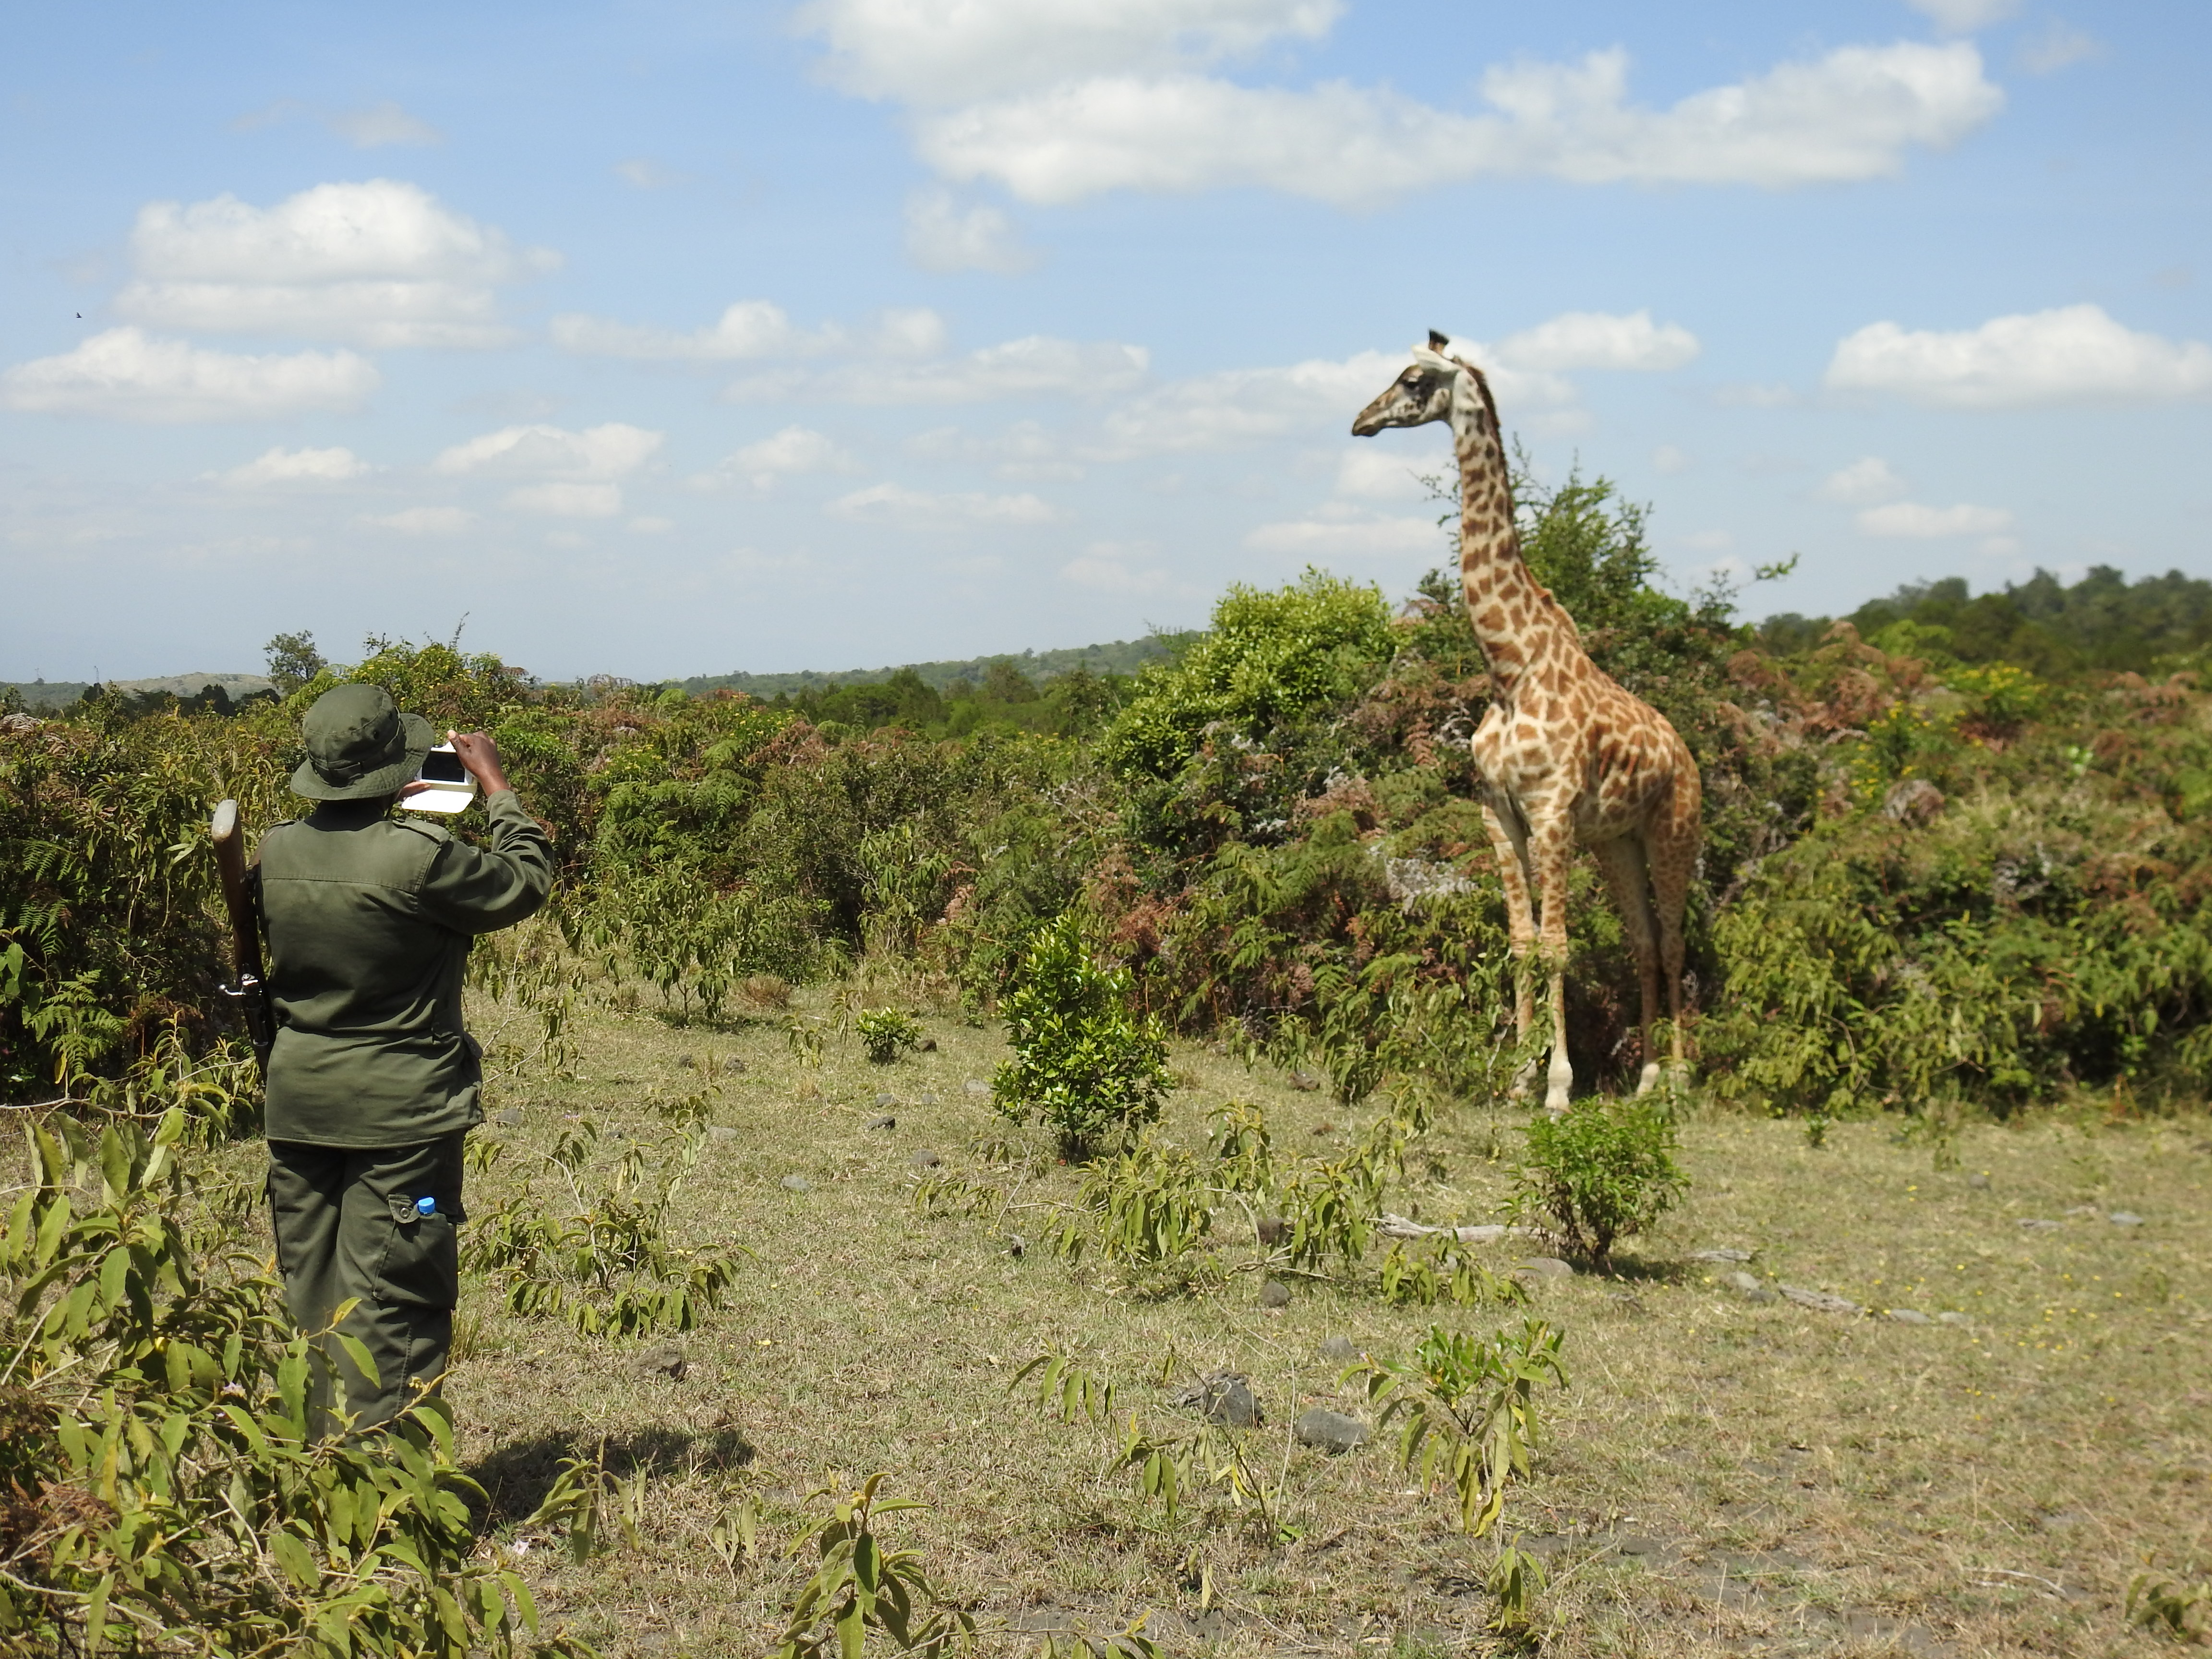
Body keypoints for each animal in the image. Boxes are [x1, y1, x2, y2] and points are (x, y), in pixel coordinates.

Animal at [1345, 334, 1690, 1119]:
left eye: (1414, 380)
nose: (1361, 420)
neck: (1510, 666)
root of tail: (1688, 756)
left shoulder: (1553, 810)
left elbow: (1557, 946)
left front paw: (1559, 1087)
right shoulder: (1498, 812)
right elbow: (1523, 942)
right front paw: (1518, 1076)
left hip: (1674, 830)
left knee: (1676, 939)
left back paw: (1681, 1079)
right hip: (1618, 841)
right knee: (1644, 939)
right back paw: (1647, 1077)